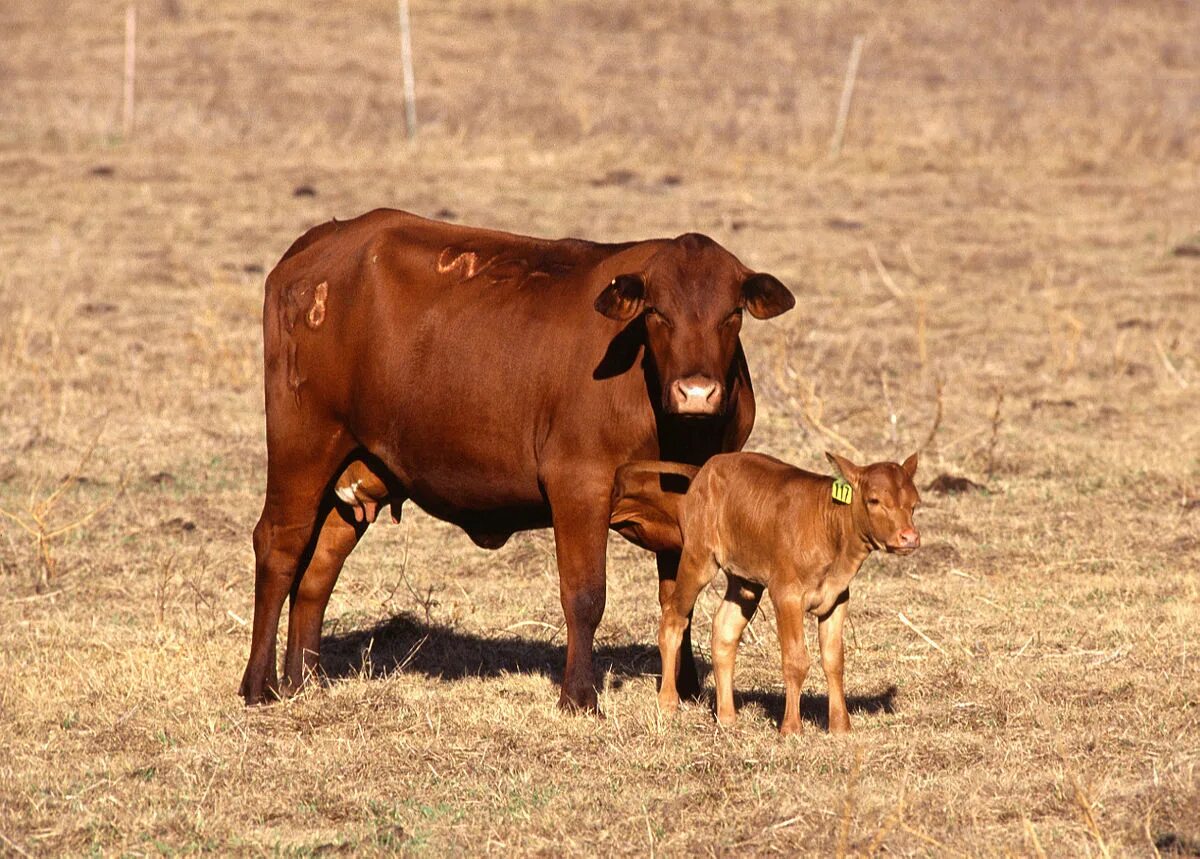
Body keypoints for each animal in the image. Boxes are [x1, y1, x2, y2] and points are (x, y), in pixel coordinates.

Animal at [614, 448, 921, 729]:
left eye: (915, 504)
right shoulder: (786, 594)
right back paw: (667, 702)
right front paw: (791, 728)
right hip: (697, 557)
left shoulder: (837, 598)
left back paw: (727, 717)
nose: (909, 537)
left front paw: (841, 727)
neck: (829, 525)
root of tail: (707, 468)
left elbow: (834, 660)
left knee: (724, 631)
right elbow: (796, 661)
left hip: (745, 582)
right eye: (874, 500)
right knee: (673, 618)